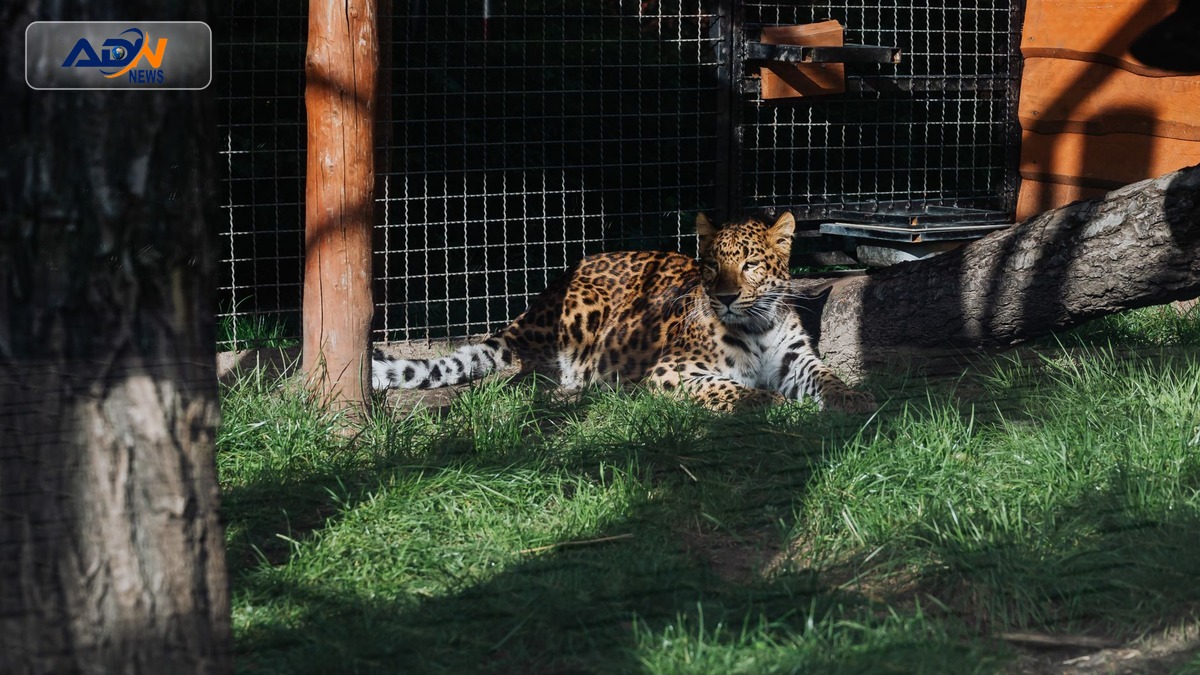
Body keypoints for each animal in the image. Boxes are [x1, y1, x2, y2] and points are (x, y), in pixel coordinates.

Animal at [372, 212, 876, 414]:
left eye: (750, 264)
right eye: (712, 265)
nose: (727, 297)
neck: (756, 326)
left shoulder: (797, 360)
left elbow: (829, 379)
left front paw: (855, 398)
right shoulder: (673, 371)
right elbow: (732, 390)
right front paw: (770, 404)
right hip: (584, 308)